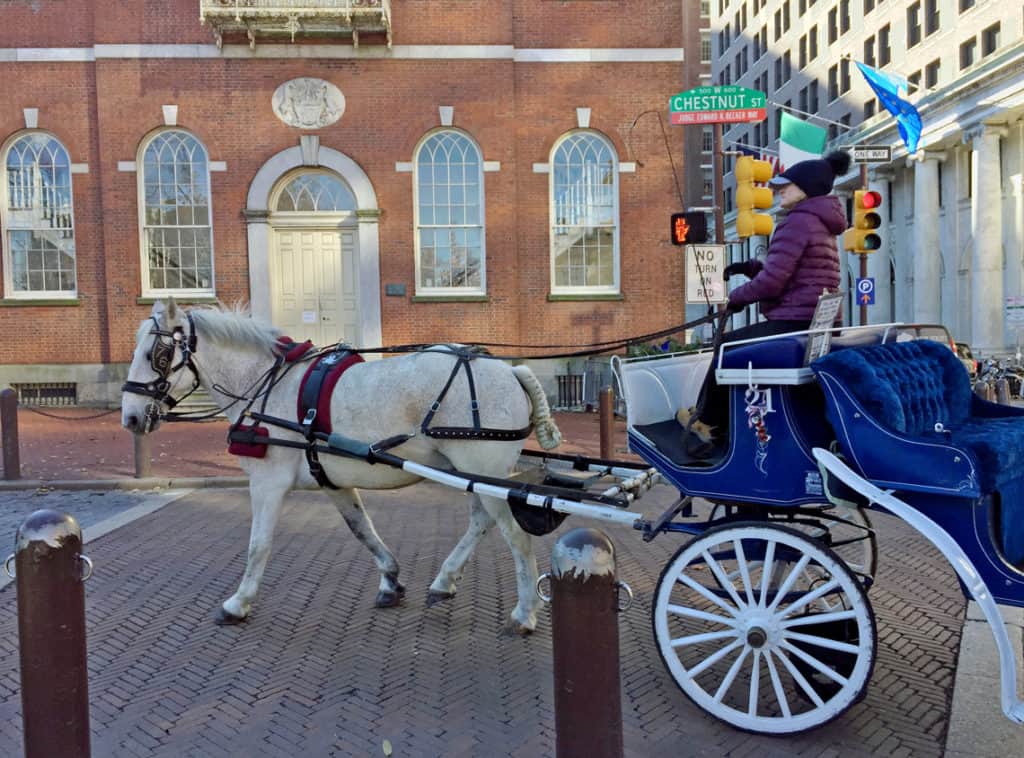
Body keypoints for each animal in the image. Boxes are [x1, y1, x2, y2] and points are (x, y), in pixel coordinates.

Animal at [123, 301, 565, 635]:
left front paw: (238, 602)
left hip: (482, 471)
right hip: (477, 475)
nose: (130, 417)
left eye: (156, 355)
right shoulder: (333, 481)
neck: (268, 386)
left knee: (515, 537)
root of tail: (511, 369)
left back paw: (524, 612)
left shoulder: (267, 482)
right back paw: (444, 581)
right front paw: (390, 580)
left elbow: (257, 545)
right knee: (481, 522)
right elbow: (362, 530)